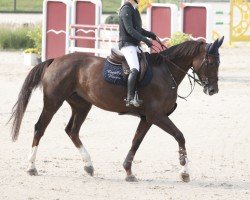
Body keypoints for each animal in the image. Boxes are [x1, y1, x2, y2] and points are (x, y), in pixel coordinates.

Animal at [9, 37, 225, 183]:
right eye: (211, 62)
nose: (213, 90)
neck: (166, 72)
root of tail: (55, 60)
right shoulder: (157, 116)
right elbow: (180, 136)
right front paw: (184, 172)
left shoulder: (147, 118)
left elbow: (136, 141)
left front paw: (128, 172)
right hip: (53, 102)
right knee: (40, 128)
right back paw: (31, 167)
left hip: (82, 105)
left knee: (72, 131)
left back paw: (89, 166)